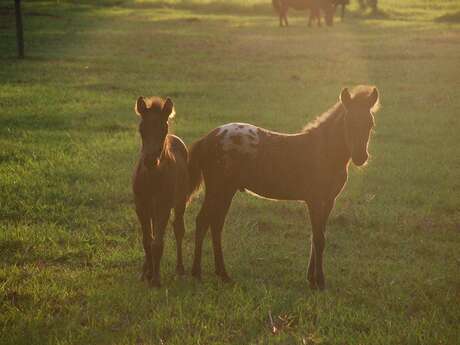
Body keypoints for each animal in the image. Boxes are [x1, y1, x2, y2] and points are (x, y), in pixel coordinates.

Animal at [133, 95, 198, 286]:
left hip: (179, 203)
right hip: (152, 208)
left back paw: (180, 269)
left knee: (178, 229)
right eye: (141, 129)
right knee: (154, 234)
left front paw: (156, 279)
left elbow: (157, 243)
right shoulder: (141, 206)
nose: (150, 160)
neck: (151, 177)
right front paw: (145, 274)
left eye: (163, 129)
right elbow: (147, 241)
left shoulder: (163, 205)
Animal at [187, 85, 380, 288]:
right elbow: (319, 239)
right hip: (219, 189)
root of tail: (207, 138)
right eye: (347, 122)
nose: (360, 157)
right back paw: (197, 273)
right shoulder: (314, 200)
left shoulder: (328, 201)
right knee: (203, 221)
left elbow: (317, 236)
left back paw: (223, 274)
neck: (323, 152)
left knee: (215, 224)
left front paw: (311, 278)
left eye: (371, 124)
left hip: (226, 191)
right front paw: (319, 282)